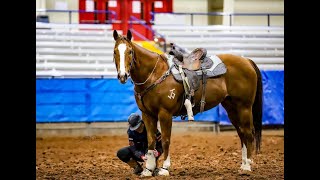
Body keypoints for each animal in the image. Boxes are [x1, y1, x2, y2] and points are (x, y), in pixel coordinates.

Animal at [112, 30, 262, 176]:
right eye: (114, 51)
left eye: (130, 51)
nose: (122, 75)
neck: (154, 74)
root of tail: (247, 61)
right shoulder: (147, 114)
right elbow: (151, 141)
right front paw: (148, 170)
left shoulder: (165, 114)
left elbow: (165, 140)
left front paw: (165, 168)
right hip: (232, 108)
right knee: (241, 133)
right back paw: (243, 164)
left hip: (244, 107)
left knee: (248, 133)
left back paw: (247, 166)